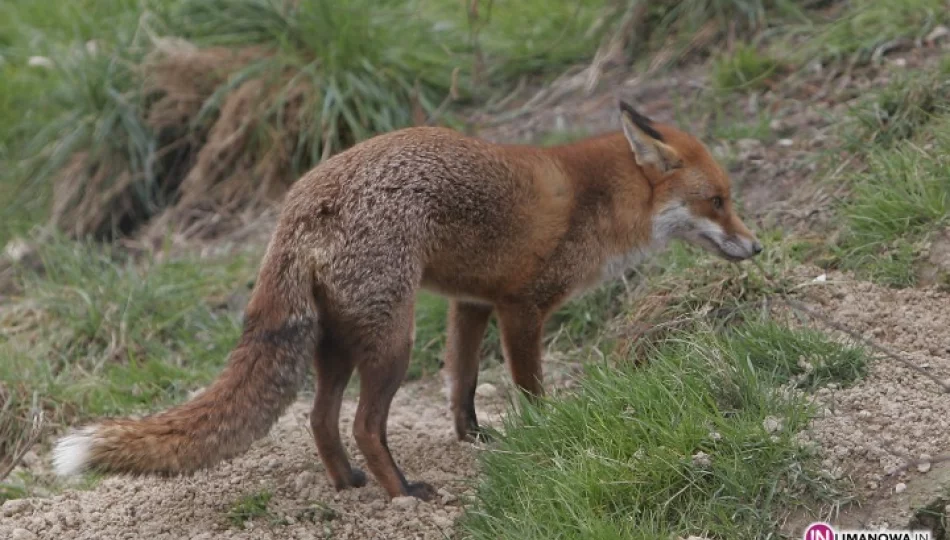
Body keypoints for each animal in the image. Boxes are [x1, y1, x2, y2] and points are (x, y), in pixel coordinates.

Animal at [52, 102, 768, 502]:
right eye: (718, 201)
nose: (757, 246)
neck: (598, 201)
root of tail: (300, 201)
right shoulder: (522, 308)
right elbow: (528, 388)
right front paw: (548, 435)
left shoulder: (470, 303)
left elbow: (463, 383)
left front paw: (475, 438)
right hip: (390, 343)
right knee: (365, 424)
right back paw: (402, 493)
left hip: (338, 342)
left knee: (320, 420)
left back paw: (348, 484)